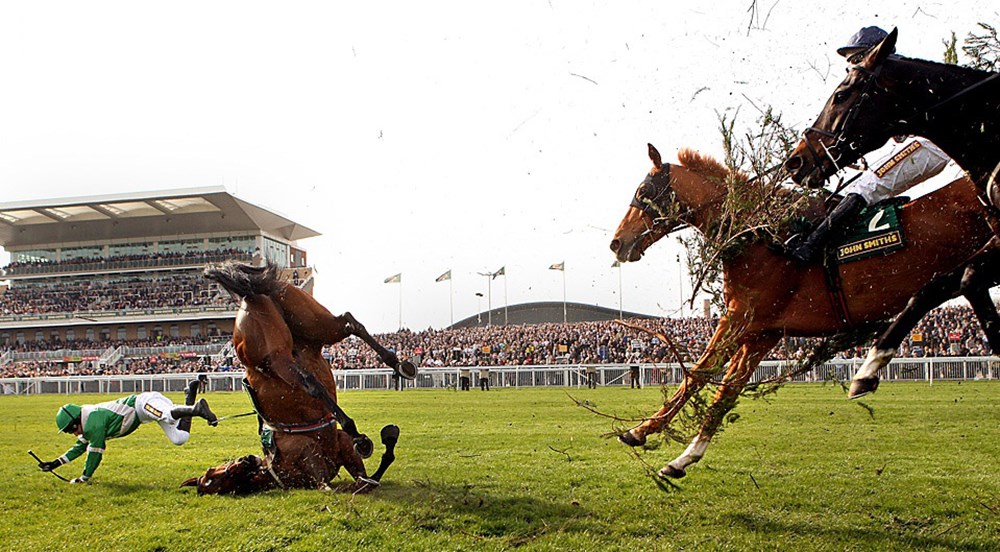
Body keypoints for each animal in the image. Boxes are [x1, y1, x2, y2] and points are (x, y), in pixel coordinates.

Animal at [604, 143, 996, 478]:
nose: (617, 243)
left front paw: (642, 431)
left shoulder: (741, 318)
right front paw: (681, 456)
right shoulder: (762, 332)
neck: (762, 234)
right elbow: (725, 391)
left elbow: (699, 373)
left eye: (643, 190)